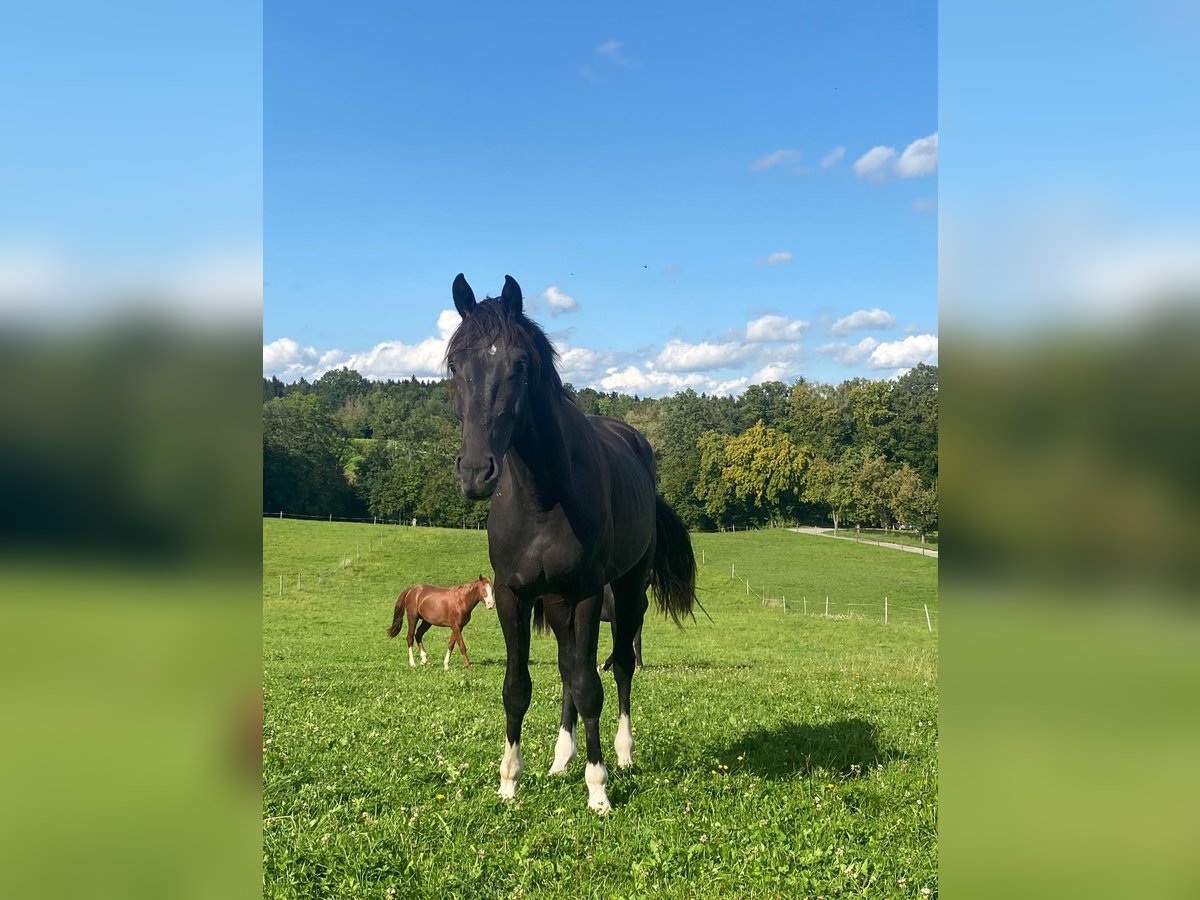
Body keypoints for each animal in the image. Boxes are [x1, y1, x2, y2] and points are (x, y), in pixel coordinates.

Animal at [446, 273, 696, 813]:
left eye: (519, 365)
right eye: (455, 364)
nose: (475, 473)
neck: (542, 496)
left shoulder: (585, 593)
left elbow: (589, 686)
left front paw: (598, 787)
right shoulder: (514, 595)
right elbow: (518, 686)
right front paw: (509, 782)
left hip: (626, 592)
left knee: (618, 668)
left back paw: (622, 754)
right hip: (557, 603)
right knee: (565, 667)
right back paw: (562, 757)